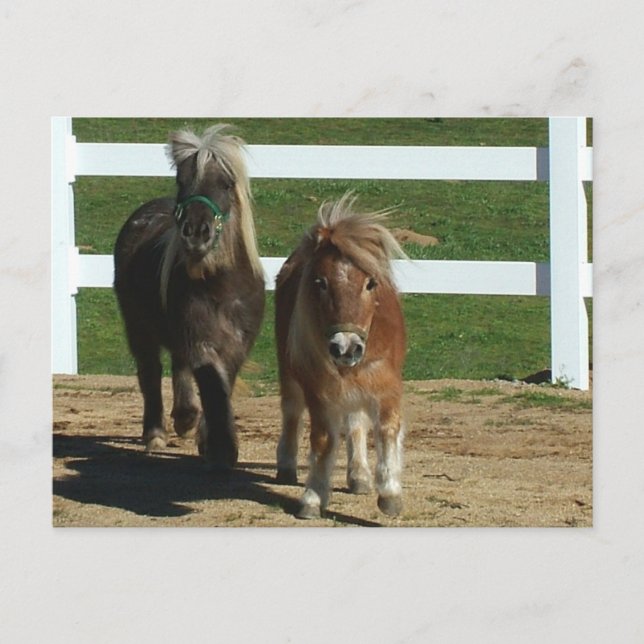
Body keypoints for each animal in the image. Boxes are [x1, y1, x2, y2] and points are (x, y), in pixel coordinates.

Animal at [113, 125, 265, 470]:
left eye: (226, 183)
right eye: (182, 180)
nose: (196, 232)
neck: (222, 286)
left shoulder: (237, 345)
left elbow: (221, 385)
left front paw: (209, 441)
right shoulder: (200, 340)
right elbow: (211, 387)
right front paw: (221, 449)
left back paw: (184, 419)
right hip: (138, 328)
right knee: (151, 372)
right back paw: (156, 432)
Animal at [274, 194, 407, 518]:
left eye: (370, 282)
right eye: (320, 282)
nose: (345, 347)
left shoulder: (385, 385)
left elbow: (387, 430)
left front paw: (389, 494)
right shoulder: (320, 393)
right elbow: (323, 441)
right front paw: (312, 498)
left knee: (356, 422)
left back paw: (359, 476)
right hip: (289, 374)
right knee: (291, 412)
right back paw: (286, 466)